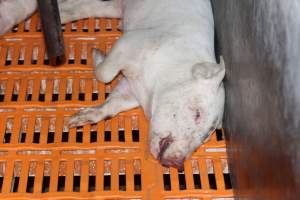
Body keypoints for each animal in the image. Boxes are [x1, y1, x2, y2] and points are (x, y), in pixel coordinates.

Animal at [0, 0, 225, 170]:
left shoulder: (131, 89)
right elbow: (105, 75)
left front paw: (76, 120)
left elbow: (114, 104)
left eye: (206, 136)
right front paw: (96, 53)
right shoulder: (132, 43)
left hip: (114, 8)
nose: (177, 164)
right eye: (197, 113)